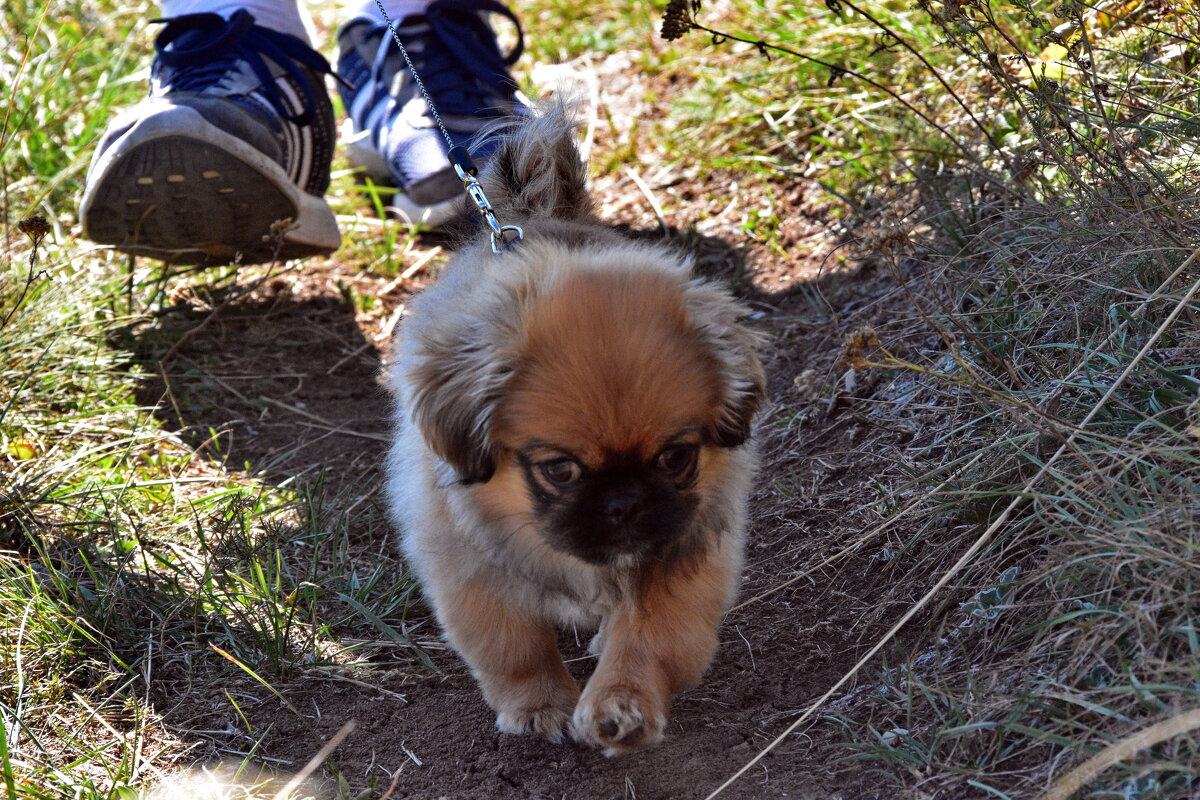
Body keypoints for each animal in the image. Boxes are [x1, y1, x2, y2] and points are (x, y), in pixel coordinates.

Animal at [386, 107, 768, 758]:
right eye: (559, 469)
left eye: (675, 458)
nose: (625, 504)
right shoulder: (469, 570)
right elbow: (514, 647)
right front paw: (540, 705)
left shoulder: (682, 552)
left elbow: (649, 638)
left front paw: (622, 706)